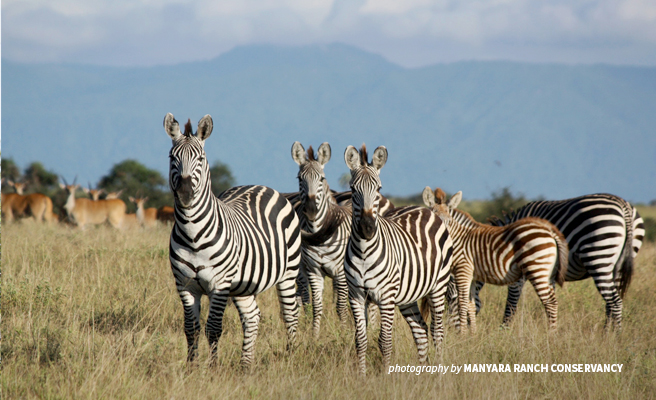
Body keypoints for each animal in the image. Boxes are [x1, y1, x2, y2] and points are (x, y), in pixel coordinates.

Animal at [163, 113, 302, 368]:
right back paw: (246, 364)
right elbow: (191, 329)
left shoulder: (220, 284)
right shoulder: (185, 285)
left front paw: (213, 369)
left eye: (200, 158)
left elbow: (213, 329)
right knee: (252, 316)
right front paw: (191, 368)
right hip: (244, 285)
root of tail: (260, 185)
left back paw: (291, 357)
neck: (192, 235)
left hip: (288, 272)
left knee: (290, 315)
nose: (185, 195)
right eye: (172, 157)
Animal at [344, 145, 452, 376]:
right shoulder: (356, 295)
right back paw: (423, 374)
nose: (367, 228)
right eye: (353, 189)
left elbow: (384, 340)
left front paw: (385, 377)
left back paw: (439, 374)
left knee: (437, 332)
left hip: (438, 285)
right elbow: (361, 340)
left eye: (379, 189)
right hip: (407, 296)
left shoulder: (386, 297)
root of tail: (423, 208)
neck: (364, 252)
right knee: (421, 330)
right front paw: (362, 377)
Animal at [426, 188, 568, 332]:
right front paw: (473, 334)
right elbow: (472, 305)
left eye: (449, 220)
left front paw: (464, 334)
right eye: (436, 218)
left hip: (537, 268)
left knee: (550, 302)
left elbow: (463, 303)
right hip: (548, 272)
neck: (460, 237)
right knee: (553, 301)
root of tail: (550, 231)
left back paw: (551, 334)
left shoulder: (463, 270)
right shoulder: (472, 275)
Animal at [482, 192, 644, 330]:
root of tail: (623, 205)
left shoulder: (521, 267)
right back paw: (606, 334)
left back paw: (614, 337)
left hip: (599, 254)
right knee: (612, 302)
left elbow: (512, 299)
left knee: (614, 302)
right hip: (620, 262)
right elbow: (548, 299)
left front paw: (504, 329)